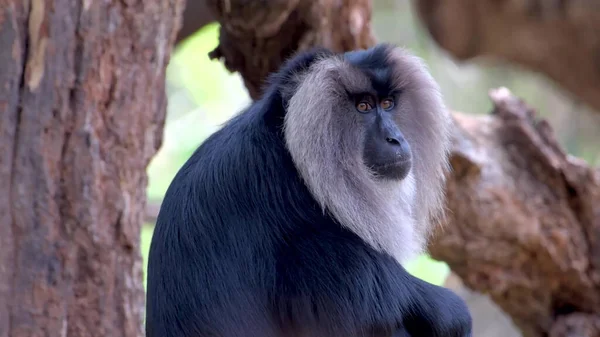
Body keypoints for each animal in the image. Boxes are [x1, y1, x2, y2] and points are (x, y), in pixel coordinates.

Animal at [144, 42, 468, 336]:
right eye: (363, 106)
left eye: (387, 104)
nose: (395, 139)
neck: (291, 156)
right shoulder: (288, 211)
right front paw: (449, 309)